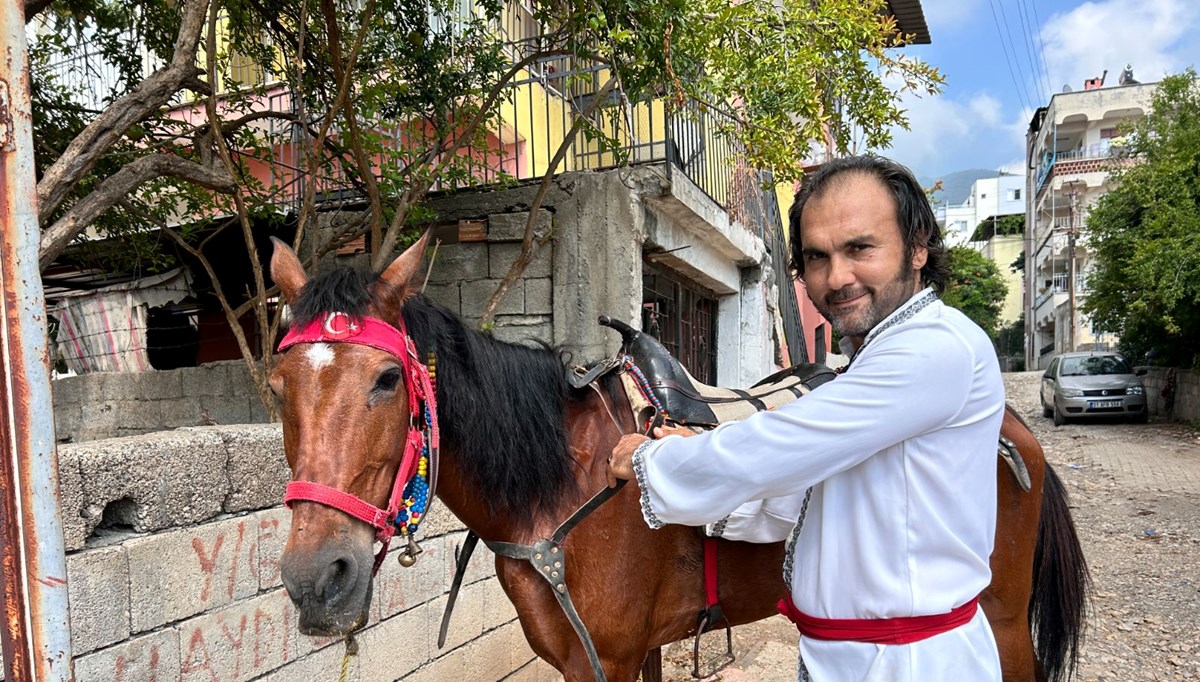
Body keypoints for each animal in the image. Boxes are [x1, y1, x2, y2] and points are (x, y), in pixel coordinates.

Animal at [270, 235, 1089, 682]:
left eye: (386, 379)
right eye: (276, 385)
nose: (316, 580)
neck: (563, 481)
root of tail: (1014, 429)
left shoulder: (605, 660)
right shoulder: (631, 651)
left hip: (1001, 617)